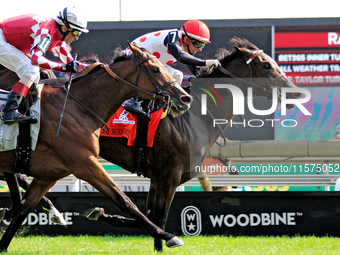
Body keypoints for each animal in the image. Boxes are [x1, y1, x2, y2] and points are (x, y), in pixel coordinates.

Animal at [0, 42, 190, 252]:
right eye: (155, 69)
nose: (184, 97)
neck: (79, 106)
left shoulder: (48, 175)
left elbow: (22, 211)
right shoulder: (86, 164)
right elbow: (125, 201)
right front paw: (169, 236)